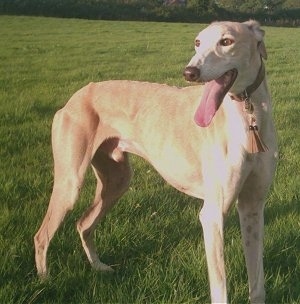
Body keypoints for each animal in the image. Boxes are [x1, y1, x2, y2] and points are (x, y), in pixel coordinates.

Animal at [34, 20, 278, 302]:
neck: (249, 120)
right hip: (70, 182)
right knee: (42, 235)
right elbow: (220, 290)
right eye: (197, 42)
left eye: (226, 41)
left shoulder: (252, 206)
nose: (190, 72)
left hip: (117, 180)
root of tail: (77, 95)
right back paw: (45, 282)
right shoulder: (213, 215)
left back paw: (98, 267)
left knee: (83, 223)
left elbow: (257, 283)